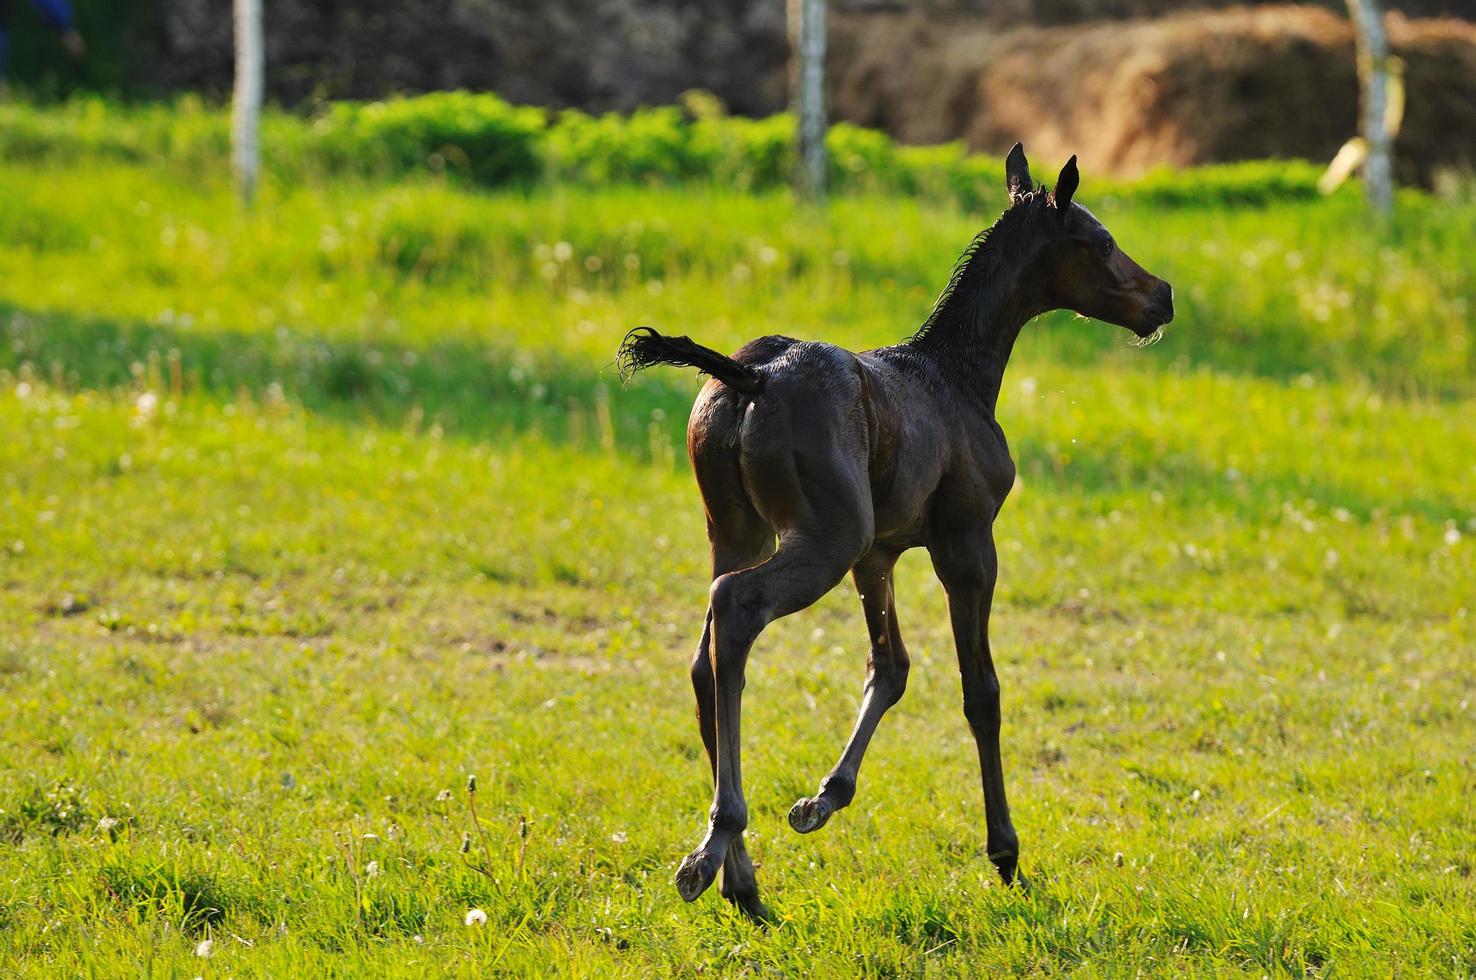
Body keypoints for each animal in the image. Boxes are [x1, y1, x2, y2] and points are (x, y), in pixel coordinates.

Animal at [622, 145, 1174, 920]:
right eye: (1100, 242)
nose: (1164, 297)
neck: (959, 374)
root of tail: (752, 376)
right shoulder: (966, 544)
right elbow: (981, 691)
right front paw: (1005, 853)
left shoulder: (880, 554)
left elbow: (890, 667)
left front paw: (822, 801)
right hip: (825, 539)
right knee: (736, 608)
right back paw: (714, 849)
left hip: (739, 529)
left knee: (708, 653)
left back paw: (743, 879)